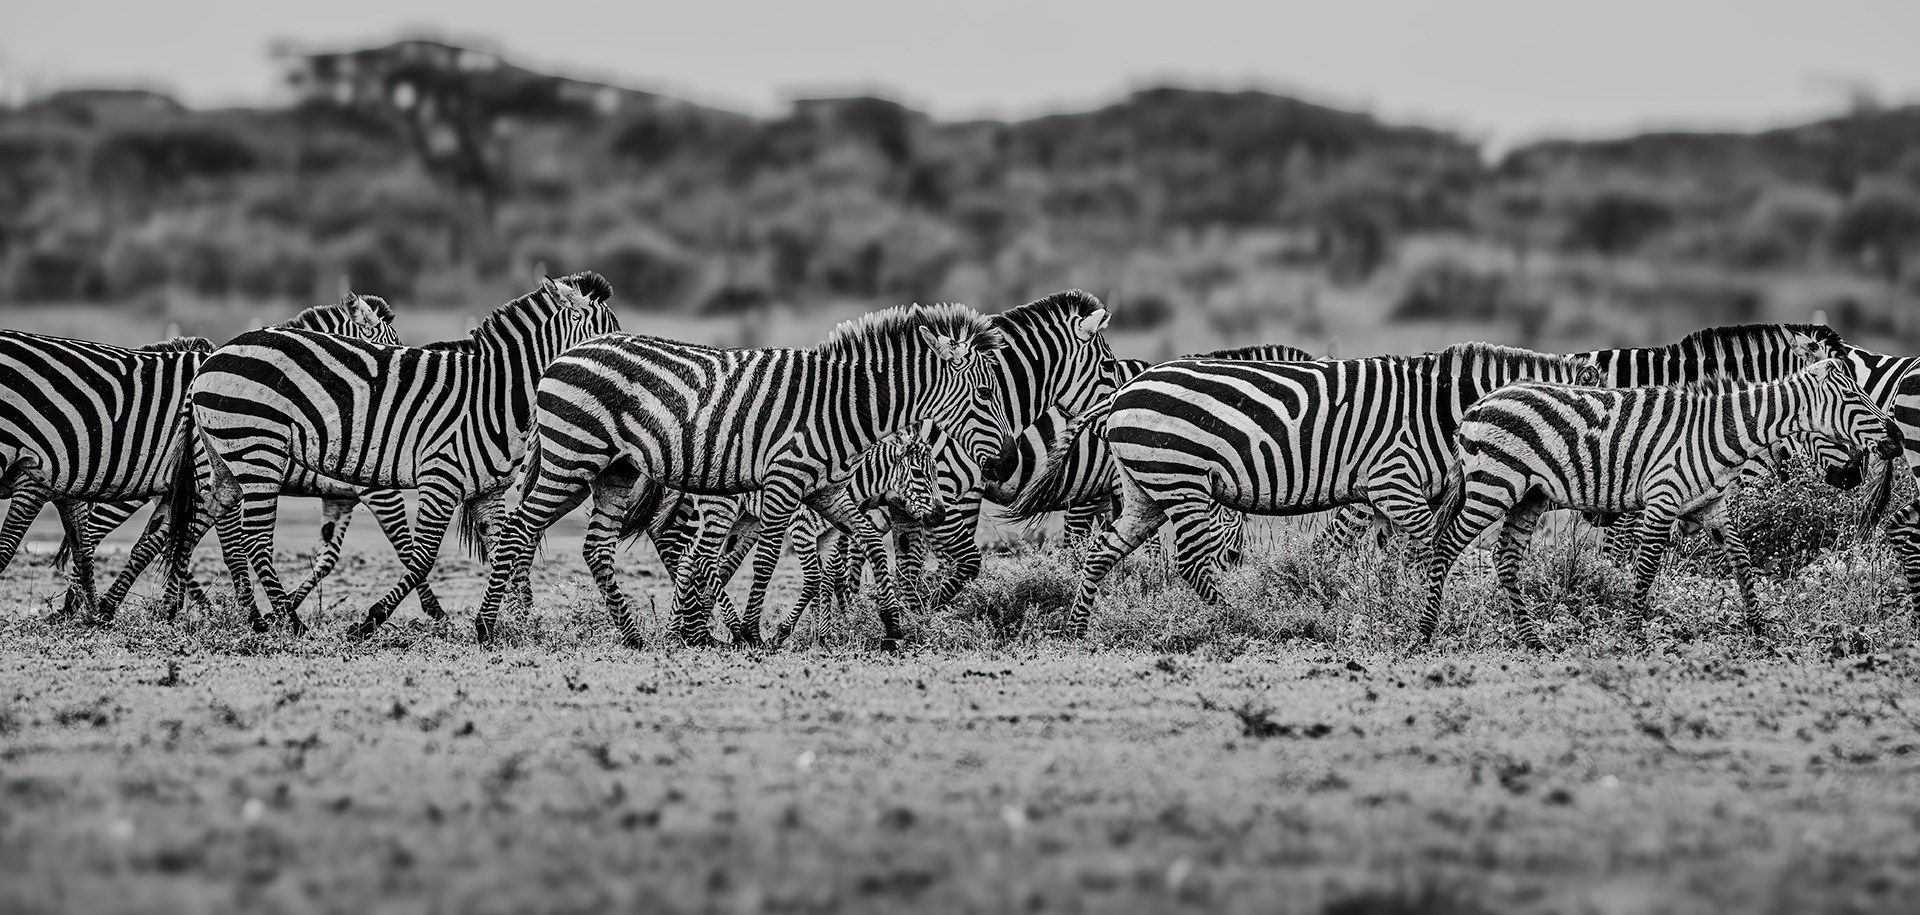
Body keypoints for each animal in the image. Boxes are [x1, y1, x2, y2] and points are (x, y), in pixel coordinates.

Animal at [164, 273, 619, 636]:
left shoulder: (486, 491)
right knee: (254, 541)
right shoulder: (439, 479)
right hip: (258, 453)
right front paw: (370, 622)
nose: (619, 377)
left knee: (197, 527)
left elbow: (503, 551)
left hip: (225, 463)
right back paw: (290, 625)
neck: (494, 394)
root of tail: (211, 358)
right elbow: (420, 557)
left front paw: (511, 619)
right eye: (601, 337)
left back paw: (220, 615)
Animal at [474, 302, 1010, 649]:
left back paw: (634, 637)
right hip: (572, 457)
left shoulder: (826, 489)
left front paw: (893, 627)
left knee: (592, 546)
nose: (1005, 463)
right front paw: (754, 633)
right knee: (519, 528)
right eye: (986, 394)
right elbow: (771, 560)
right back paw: (487, 628)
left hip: (612, 470)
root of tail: (562, 356)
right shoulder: (784, 483)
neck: (842, 405)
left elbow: (870, 541)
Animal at [1009, 342, 1602, 638]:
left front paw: (1388, 610)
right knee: (1192, 562)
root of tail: (1124, 388)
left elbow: (1396, 558)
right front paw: (1421, 618)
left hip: (1145, 487)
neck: (1441, 412)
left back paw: (1078, 628)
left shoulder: (1389, 497)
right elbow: (1427, 550)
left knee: (1101, 551)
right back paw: (1240, 622)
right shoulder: (1393, 482)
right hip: (1183, 479)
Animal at [1426, 359, 1900, 647]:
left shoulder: (1711, 507)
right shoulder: (1660, 500)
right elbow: (1646, 570)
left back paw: (1533, 641)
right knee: (1444, 547)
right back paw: (1426, 633)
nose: (1896, 439)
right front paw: (1633, 637)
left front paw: (1760, 631)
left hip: (1529, 495)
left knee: (1504, 559)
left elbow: (1743, 563)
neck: (1720, 432)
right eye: (1854, 398)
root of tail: (1475, 406)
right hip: (1493, 485)